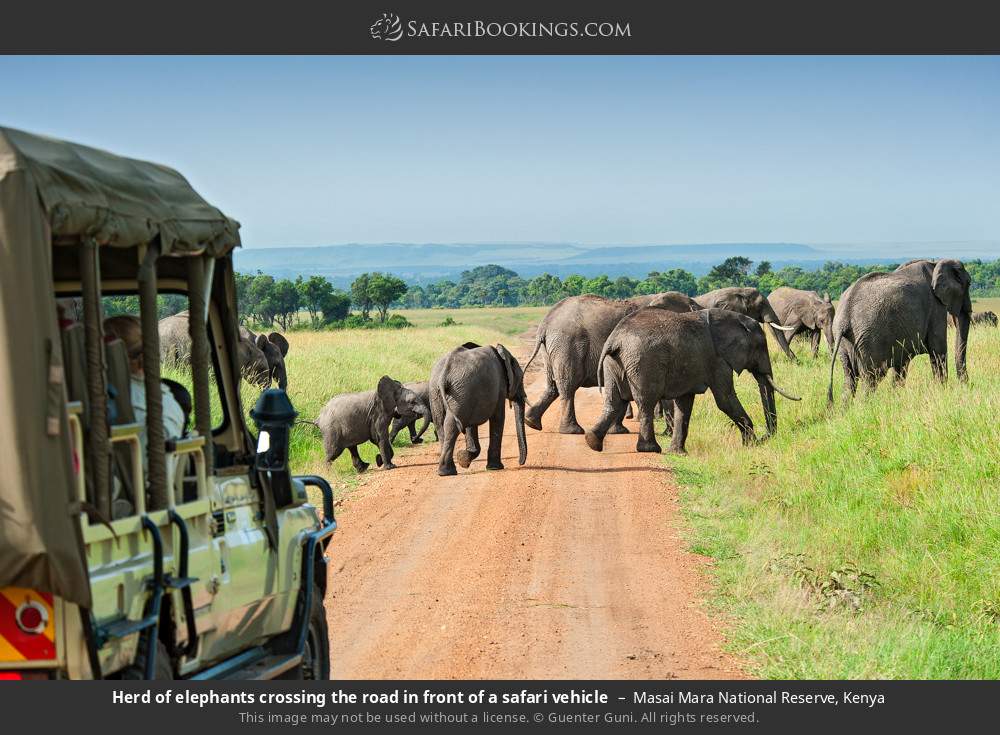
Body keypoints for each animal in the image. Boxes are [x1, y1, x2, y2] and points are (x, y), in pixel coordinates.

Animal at [430, 340, 532, 474]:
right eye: (521, 378)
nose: (520, 463)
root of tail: (444, 373)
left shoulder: (471, 396)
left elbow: (470, 426)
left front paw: (463, 459)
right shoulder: (499, 387)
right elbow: (498, 418)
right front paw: (494, 467)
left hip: (442, 392)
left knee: (441, 425)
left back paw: (445, 471)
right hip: (459, 392)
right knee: (451, 426)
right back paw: (447, 471)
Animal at [520, 290, 692, 434]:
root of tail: (545, 323)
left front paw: (618, 431)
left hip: (552, 347)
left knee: (553, 385)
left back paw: (531, 422)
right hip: (567, 344)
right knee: (568, 385)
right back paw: (573, 431)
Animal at [584, 306, 800, 454]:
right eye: (761, 346)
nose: (766, 437)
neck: (732, 319)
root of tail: (615, 340)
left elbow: (685, 403)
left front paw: (678, 453)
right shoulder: (717, 360)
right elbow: (725, 399)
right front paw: (751, 445)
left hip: (614, 364)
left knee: (614, 402)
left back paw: (592, 441)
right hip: (643, 363)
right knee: (645, 402)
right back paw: (651, 449)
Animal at [824, 256, 972, 400]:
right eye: (969, 283)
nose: (965, 384)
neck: (935, 263)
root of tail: (844, 318)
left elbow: (901, 365)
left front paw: (897, 397)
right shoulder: (936, 307)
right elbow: (938, 350)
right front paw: (941, 391)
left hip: (845, 342)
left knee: (849, 380)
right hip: (869, 340)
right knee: (872, 378)